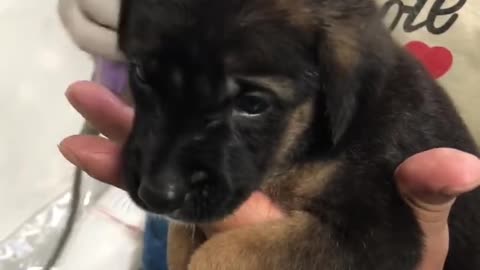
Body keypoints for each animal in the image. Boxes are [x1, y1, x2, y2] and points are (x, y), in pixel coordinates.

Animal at [117, 0, 480, 268]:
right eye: (141, 74)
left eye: (253, 104)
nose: (156, 196)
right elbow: (181, 239)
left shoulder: (381, 234)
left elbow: (224, 250)